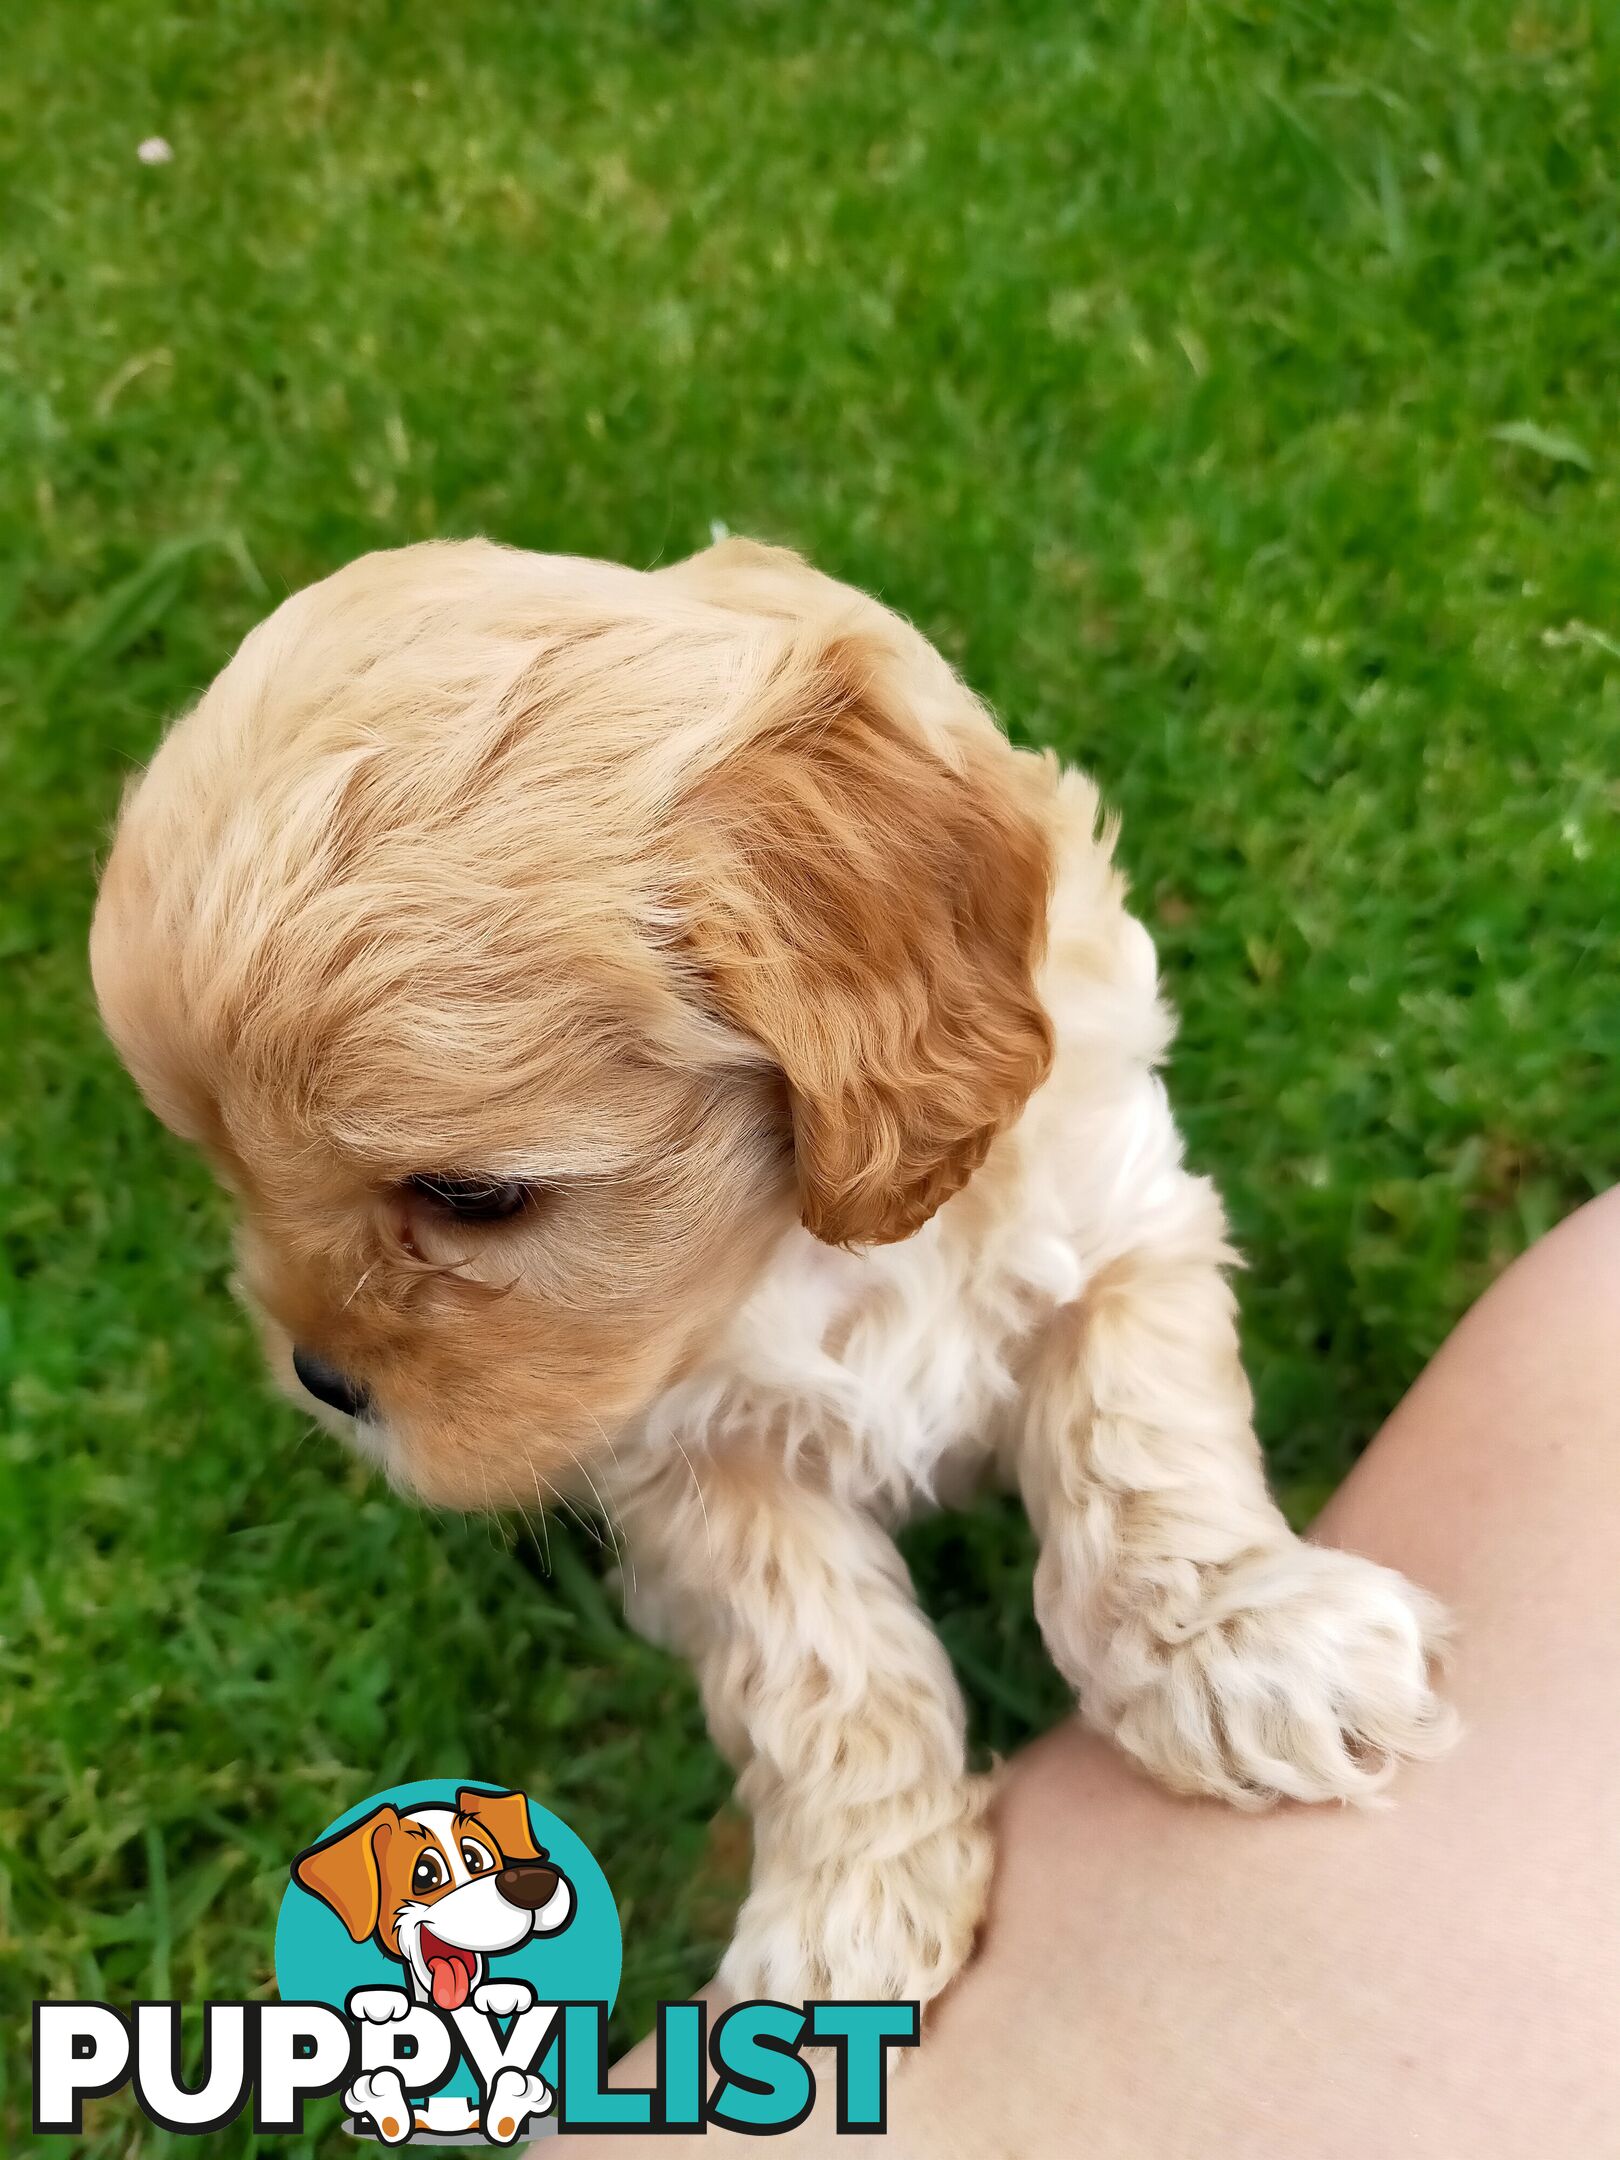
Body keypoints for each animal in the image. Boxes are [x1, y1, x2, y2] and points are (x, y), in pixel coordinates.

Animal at [91, 535, 1460, 2004]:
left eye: (471, 1198)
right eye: (230, 1172)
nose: (324, 1382)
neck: (800, 1247)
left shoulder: (1118, 1227)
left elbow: (1141, 1451)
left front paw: (1248, 1647)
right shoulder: (687, 1457)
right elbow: (818, 1656)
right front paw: (846, 1913)